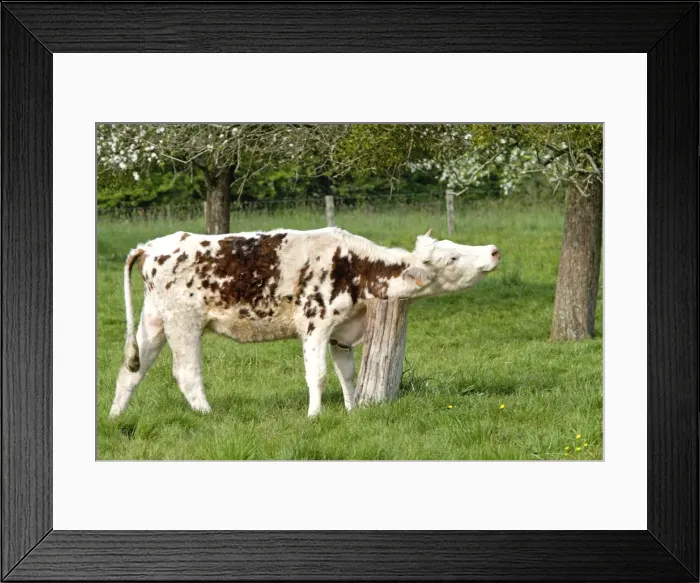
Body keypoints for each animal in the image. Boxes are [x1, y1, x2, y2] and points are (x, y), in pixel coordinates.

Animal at [109, 227, 501, 419]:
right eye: (452, 258)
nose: (494, 250)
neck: (357, 266)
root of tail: (152, 245)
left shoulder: (341, 332)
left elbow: (348, 374)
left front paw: (352, 411)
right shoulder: (316, 323)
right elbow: (319, 374)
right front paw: (315, 415)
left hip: (153, 322)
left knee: (131, 371)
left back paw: (115, 418)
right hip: (183, 322)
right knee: (186, 373)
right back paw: (209, 415)